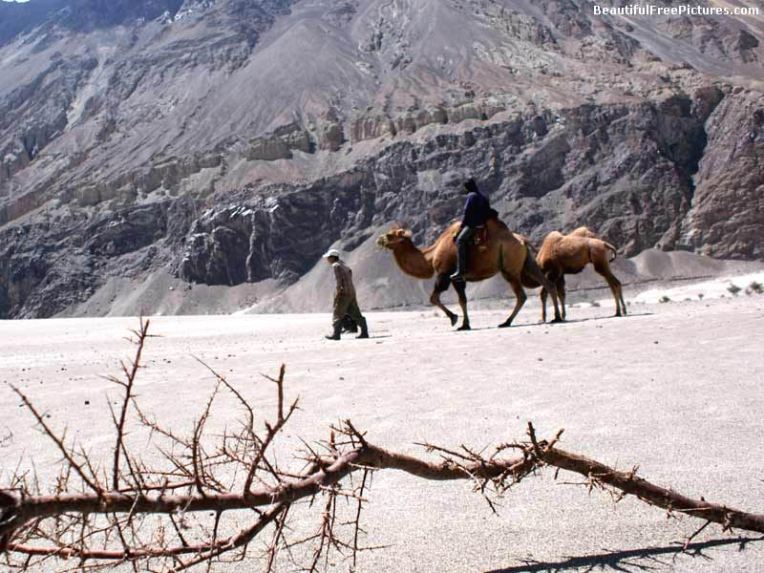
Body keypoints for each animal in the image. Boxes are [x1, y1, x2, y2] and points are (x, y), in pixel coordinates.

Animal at [377, 217, 562, 330]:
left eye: (390, 235)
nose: (379, 240)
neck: (431, 255)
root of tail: (523, 240)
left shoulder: (445, 274)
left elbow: (434, 298)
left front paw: (454, 319)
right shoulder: (459, 278)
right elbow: (462, 300)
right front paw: (465, 324)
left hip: (510, 268)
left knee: (522, 295)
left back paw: (506, 322)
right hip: (527, 263)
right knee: (547, 284)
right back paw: (556, 317)